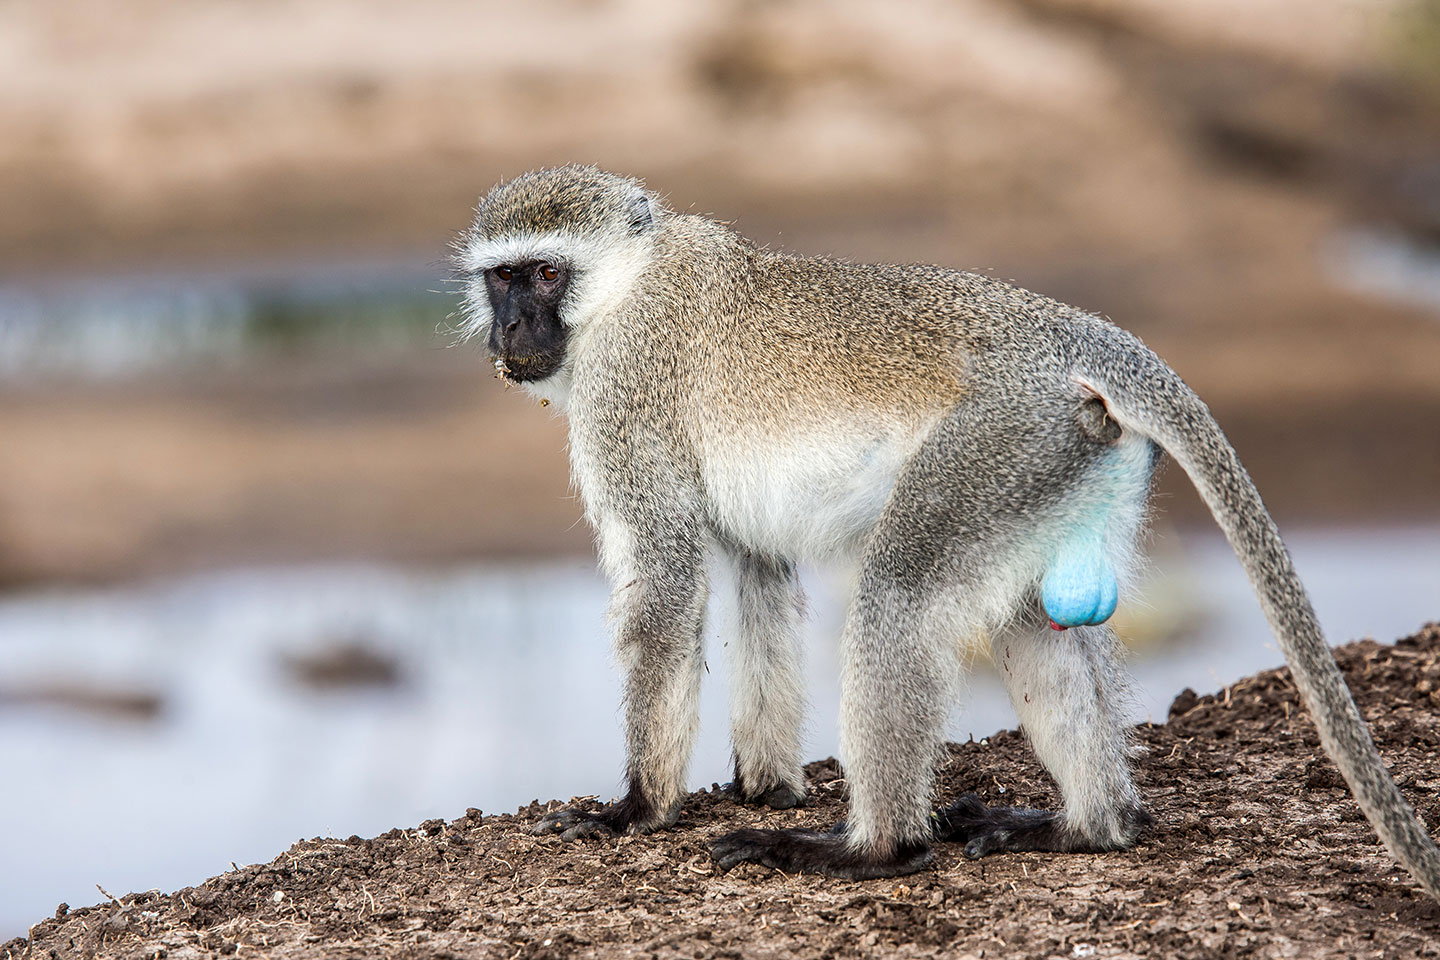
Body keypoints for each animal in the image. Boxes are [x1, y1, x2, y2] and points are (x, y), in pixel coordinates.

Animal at [453, 164, 1440, 897]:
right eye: (503, 277)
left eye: (546, 273)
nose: (513, 327)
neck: (626, 286)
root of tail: (1073, 334)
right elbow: (761, 576)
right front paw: (765, 786)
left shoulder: (621, 393)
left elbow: (663, 580)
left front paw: (635, 809)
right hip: (1057, 456)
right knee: (1035, 626)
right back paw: (1089, 828)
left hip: (999, 440)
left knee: (900, 590)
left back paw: (874, 849)